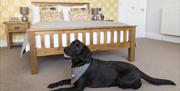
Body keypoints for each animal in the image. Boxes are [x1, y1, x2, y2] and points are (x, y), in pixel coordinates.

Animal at [48, 39, 176, 91]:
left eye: (77, 46)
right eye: (70, 43)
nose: (64, 49)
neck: (79, 64)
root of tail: (137, 68)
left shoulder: (78, 87)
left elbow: (62, 90)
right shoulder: (72, 80)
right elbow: (61, 81)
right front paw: (52, 85)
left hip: (124, 82)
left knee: (138, 84)